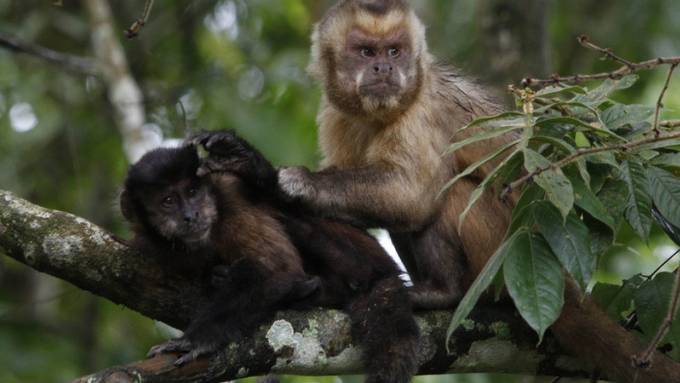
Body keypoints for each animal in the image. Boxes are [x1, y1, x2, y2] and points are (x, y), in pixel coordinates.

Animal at [121, 130, 420, 382]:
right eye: (168, 202)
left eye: (192, 192)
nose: (190, 215)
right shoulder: (146, 244)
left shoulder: (230, 202)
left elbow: (276, 270)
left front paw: (196, 340)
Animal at [274, 0, 680, 383]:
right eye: (365, 52)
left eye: (394, 51)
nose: (384, 69)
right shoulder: (334, 114)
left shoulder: (420, 112)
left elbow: (413, 196)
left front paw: (303, 183)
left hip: (502, 256)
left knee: (446, 196)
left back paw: (443, 291)